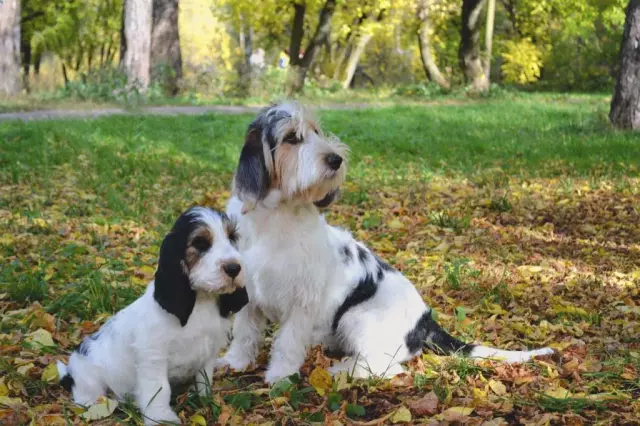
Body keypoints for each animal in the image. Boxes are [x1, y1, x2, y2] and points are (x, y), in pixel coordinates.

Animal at [57, 206, 250, 422]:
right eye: (200, 243)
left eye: (232, 237)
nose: (234, 268)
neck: (201, 302)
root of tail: (69, 372)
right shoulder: (153, 357)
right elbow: (159, 389)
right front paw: (162, 418)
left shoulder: (209, 351)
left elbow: (204, 380)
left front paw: (205, 400)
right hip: (89, 380)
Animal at [218, 101, 552, 384]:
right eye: (291, 137)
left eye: (316, 131)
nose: (336, 159)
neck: (275, 219)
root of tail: (426, 321)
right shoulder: (248, 294)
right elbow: (245, 332)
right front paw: (235, 363)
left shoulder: (302, 302)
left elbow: (288, 342)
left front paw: (280, 377)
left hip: (355, 317)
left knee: (386, 368)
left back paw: (341, 369)